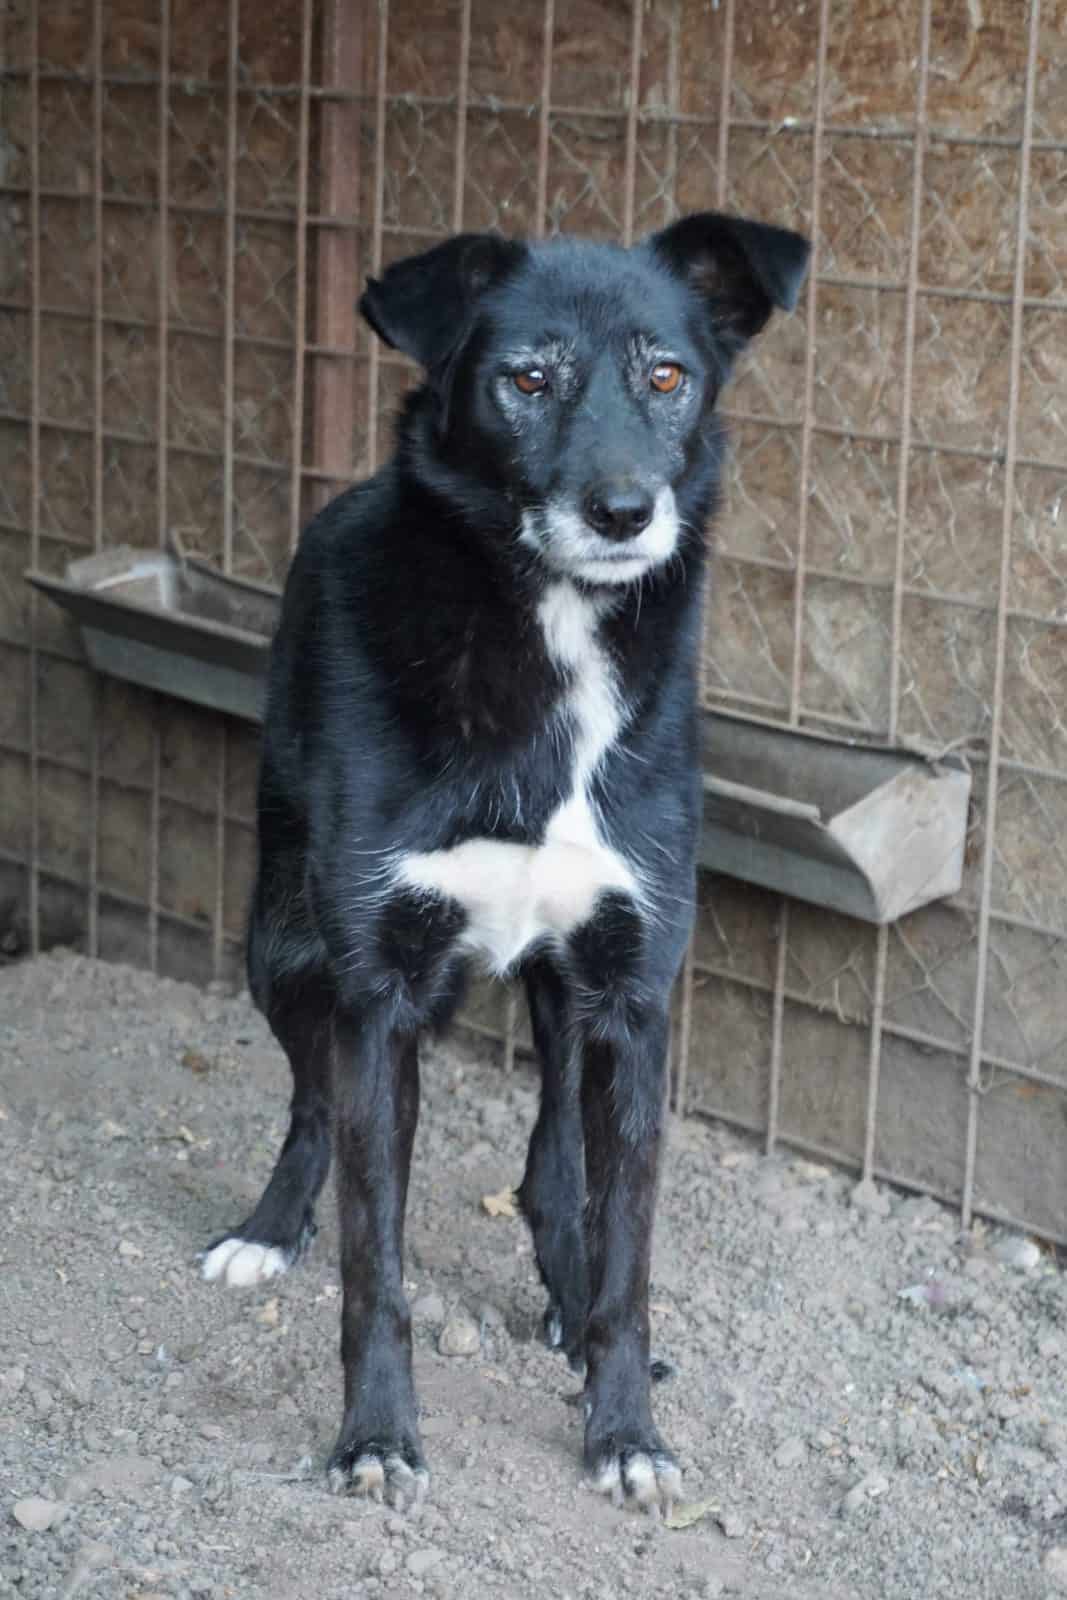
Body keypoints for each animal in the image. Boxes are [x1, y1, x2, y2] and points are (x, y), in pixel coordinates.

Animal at [201, 211, 809, 1514]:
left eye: (666, 376)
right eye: (526, 381)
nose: (624, 509)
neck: (550, 643)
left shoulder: (631, 992)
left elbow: (626, 1247)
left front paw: (622, 1423)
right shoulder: (377, 990)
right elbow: (372, 1261)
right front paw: (375, 1435)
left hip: (564, 991)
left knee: (554, 1166)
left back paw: (566, 1306)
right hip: (281, 938)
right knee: (311, 1099)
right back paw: (267, 1228)